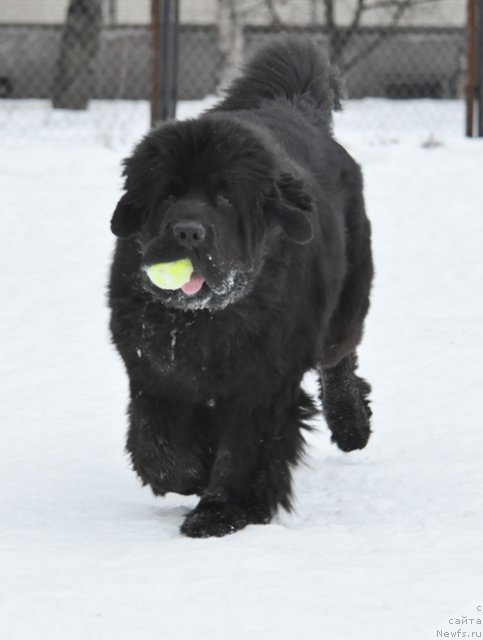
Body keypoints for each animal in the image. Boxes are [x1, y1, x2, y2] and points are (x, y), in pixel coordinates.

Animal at [108, 33, 374, 536]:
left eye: (225, 198)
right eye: (167, 194)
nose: (188, 232)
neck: (207, 319)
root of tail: (292, 106)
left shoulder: (264, 382)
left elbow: (247, 449)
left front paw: (222, 510)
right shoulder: (152, 367)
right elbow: (160, 448)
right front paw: (192, 475)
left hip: (345, 304)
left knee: (339, 356)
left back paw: (352, 425)